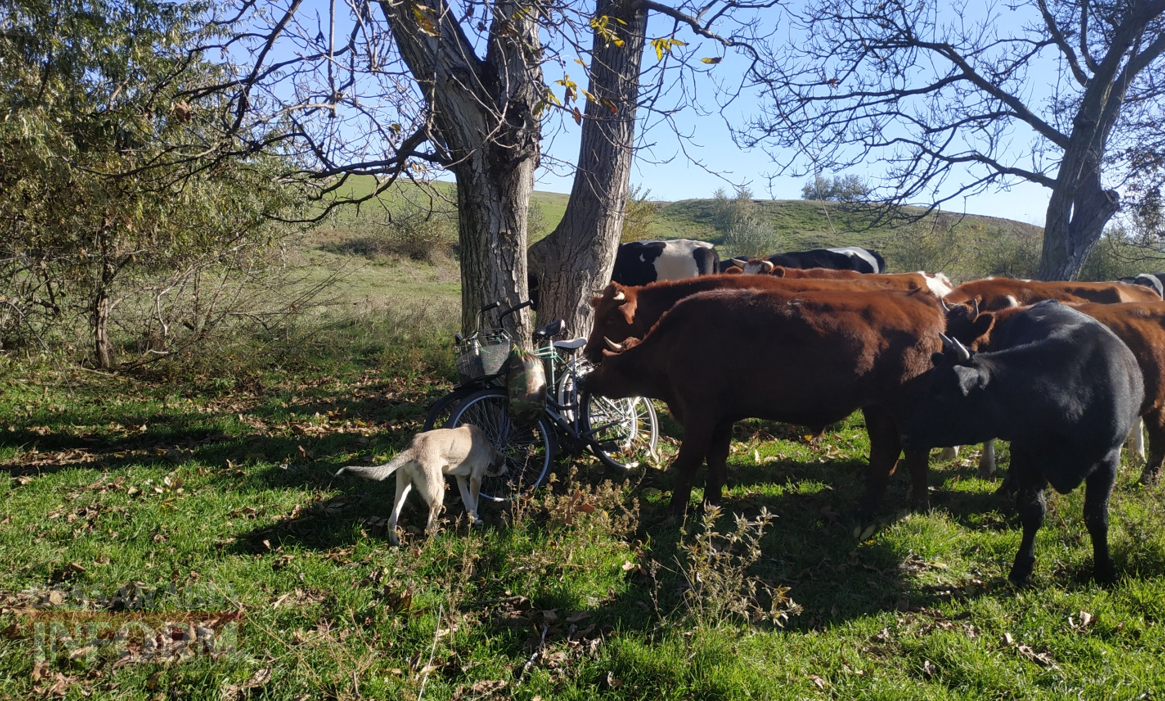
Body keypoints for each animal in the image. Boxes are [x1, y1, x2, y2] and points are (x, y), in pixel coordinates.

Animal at [333, 423, 505, 542]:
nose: (507, 470)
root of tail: (413, 448)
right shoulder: (476, 479)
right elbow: (474, 503)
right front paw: (476, 520)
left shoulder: (461, 479)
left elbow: (468, 502)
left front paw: (471, 518)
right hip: (437, 494)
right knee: (429, 527)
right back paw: (438, 542)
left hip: (403, 490)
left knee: (391, 521)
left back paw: (395, 544)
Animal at [587, 286, 941, 514]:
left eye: (606, 363)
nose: (587, 380)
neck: (675, 340)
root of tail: (925, 303)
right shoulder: (722, 419)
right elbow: (717, 458)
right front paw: (711, 502)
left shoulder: (700, 414)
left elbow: (689, 460)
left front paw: (676, 509)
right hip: (878, 409)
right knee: (885, 452)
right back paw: (866, 508)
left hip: (904, 407)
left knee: (915, 453)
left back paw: (918, 506)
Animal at [899, 300, 1137, 584]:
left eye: (939, 394)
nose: (905, 436)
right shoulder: (1026, 453)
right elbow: (1033, 511)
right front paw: (1022, 568)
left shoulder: (1109, 459)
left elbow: (1097, 516)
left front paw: (1104, 569)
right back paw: (1007, 489)